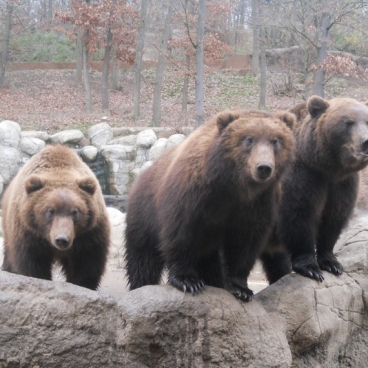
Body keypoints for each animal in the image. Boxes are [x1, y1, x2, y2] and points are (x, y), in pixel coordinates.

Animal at [1, 144, 110, 290]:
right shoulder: (29, 232)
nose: (61, 239)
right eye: (50, 211)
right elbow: (32, 263)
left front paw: (82, 284)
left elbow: (86, 264)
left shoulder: (89, 234)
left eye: (75, 212)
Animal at [125, 109, 294, 302]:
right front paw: (187, 280)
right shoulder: (195, 195)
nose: (263, 167)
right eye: (249, 139)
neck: (235, 186)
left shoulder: (257, 204)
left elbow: (245, 244)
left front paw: (241, 288)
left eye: (276, 141)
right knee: (143, 258)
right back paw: (141, 284)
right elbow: (182, 234)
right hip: (145, 214)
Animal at [268, 96, 368, 284]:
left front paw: (332, 263)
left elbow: (334, 217)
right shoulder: (302, 175)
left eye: (367, 121)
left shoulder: (342, 184)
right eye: (348, 122)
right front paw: (310, 268)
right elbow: (299, 215)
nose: (365, 141)